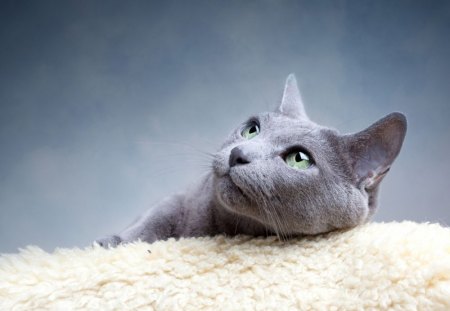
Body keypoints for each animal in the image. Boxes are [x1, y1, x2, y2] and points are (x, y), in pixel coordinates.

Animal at [96, 74, 408, 247]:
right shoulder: (183, 197)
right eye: (252, 129)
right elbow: (156, 217)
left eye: (298, 159)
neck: (223, 228)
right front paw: (113, 243)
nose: (238, 154)